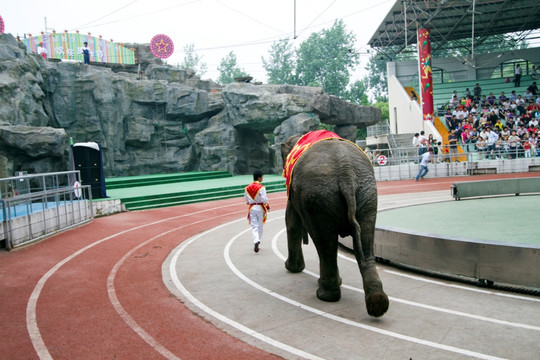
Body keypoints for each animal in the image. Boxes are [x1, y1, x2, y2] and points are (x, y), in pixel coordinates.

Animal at [280, 131, 390, 316]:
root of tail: (346, 173)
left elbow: (292, 222)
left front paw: (291, 268)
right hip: (366, 194)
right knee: (365, 242)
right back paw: (377, 303)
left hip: (319, 197)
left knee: (324, 244)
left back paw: (325, 295)